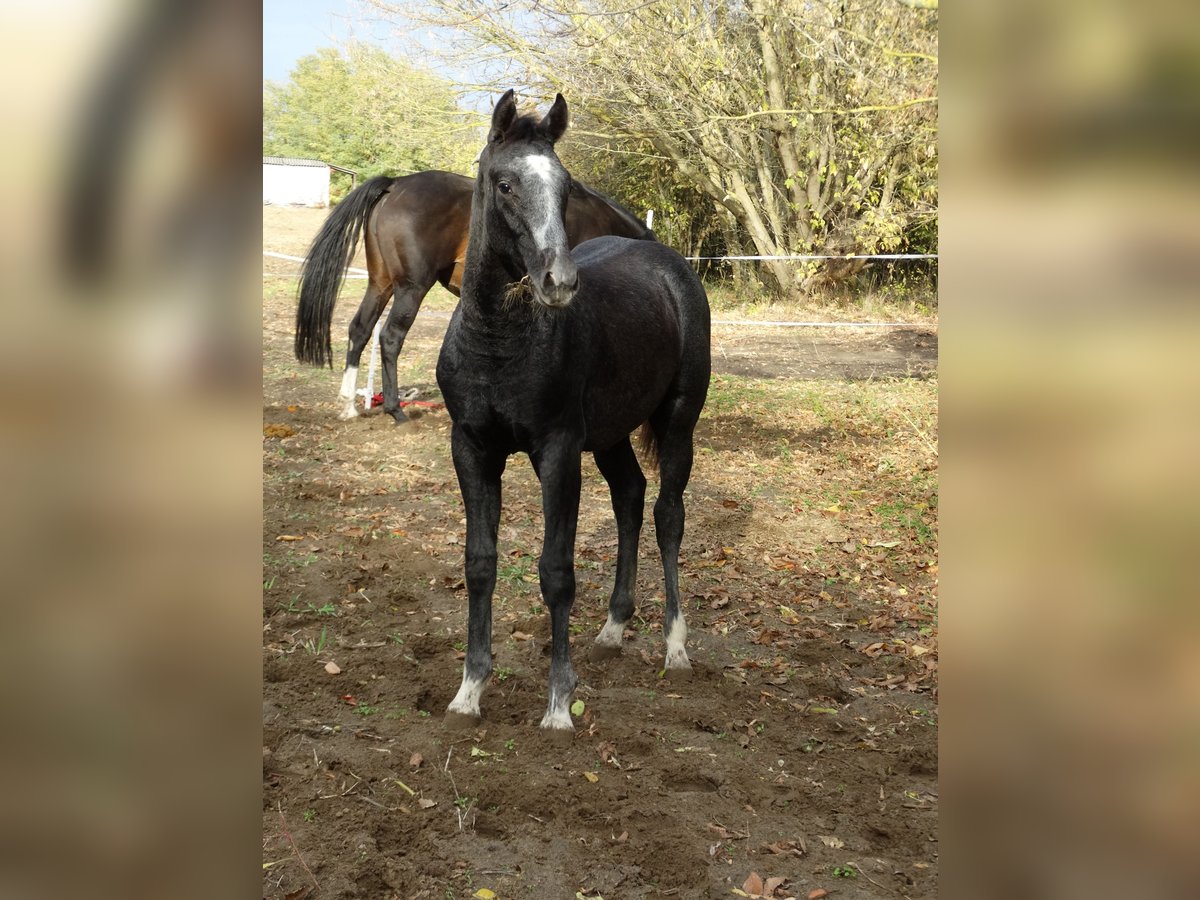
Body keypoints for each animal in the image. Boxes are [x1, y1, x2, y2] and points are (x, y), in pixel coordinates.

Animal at [292, 169, 655, 422]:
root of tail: (396, 184)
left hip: (379, 284)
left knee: (360, 329)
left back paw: (349, 406)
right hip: (411, 288)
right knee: (390, 337)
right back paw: (395, 409)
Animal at [437, 90, 711, 733]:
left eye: (565, 187)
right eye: (505, 183)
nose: (558, 281)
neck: (500, 345)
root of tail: (669, 262)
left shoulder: (558, 450)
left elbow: (556, 572)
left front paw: (559, 703)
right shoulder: (471, 448)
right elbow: (479, 563)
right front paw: (469, 690)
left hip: (678, 423)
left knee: (667, 515)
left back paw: (675, 645)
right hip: (610, 435)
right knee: (631, 496)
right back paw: (613, 628)